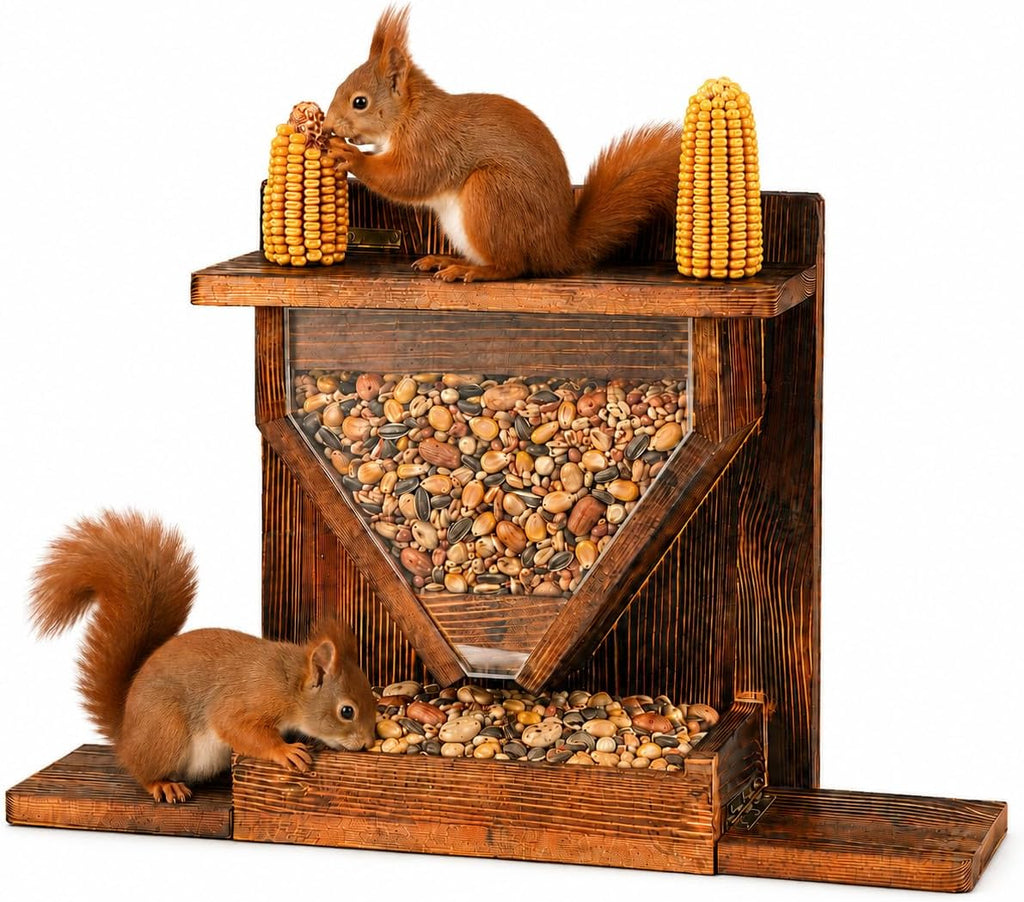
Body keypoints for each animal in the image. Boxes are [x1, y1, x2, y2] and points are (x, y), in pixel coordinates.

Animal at [29, 509, 377, 803]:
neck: (289, 683)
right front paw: (284, 750)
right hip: (166, 728)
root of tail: (125, 736)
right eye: (347, 711)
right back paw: (162, 784)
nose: (367, 744)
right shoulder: (250, 699)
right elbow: (236, 727)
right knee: (143, 773)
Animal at [324, 6, 680, 282]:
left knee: (513, 266)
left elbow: (409, 177)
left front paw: (351, 155)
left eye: (360, 102)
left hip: (491, 193)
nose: (328, 126)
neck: (409, 113)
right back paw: (447, 259)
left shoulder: (431, 142)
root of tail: (557, 250)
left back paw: (471, 271)